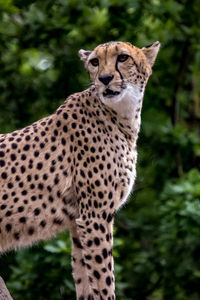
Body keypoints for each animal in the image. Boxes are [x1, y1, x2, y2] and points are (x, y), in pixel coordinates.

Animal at [0, 41, 159, 298]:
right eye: (95, 62)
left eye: (123, 58)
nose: (104, 78)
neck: (122, 117)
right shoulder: (94, 217)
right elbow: (104, 280)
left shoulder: (78, 221)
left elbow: (85, 278)